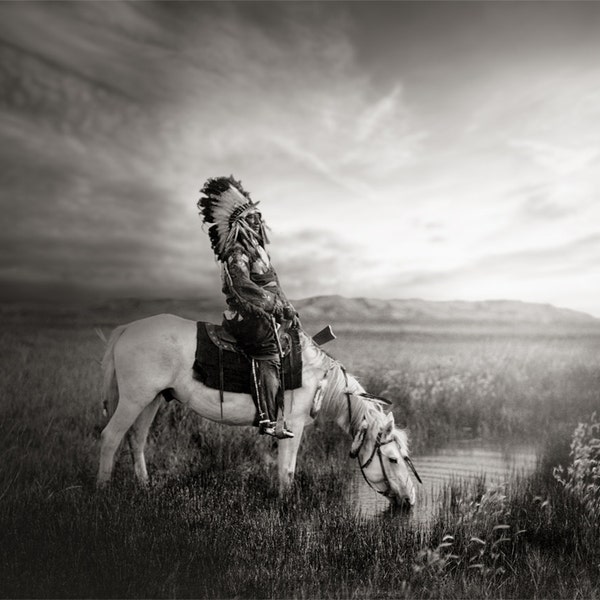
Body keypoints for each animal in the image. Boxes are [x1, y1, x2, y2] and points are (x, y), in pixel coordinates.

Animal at [96, 314, 420, 506]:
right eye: (392, 459)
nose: (411, 500)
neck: (319, 378)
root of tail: (127, 328)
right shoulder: (292, 426)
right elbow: (287, 471)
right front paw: (286, 506)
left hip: (151, 399)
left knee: (136, 439)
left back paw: (144, 486)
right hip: (134, 398)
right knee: (111, 438)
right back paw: (103, 490)